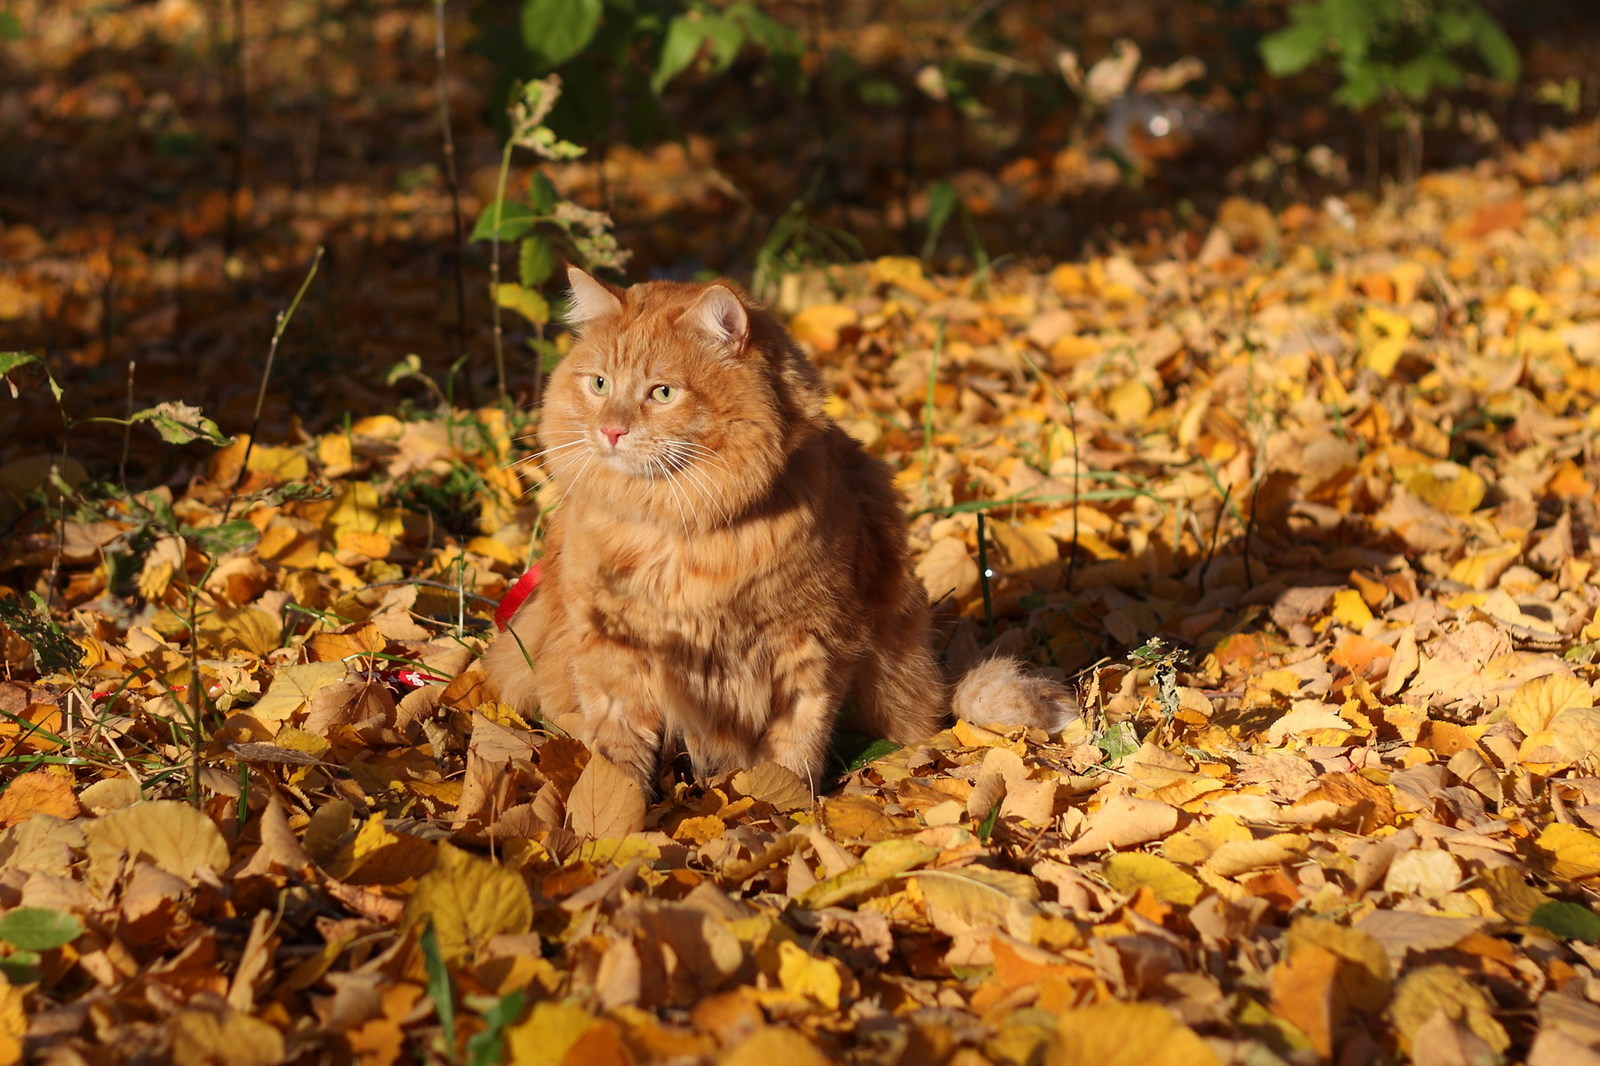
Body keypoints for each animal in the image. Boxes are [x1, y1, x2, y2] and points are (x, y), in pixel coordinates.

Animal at [480, 265, 1068, 787]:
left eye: (662, 393)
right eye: (599, 384)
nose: (611, 430)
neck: (677, 531)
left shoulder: (811, 647)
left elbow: (795, 746)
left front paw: (783, 807)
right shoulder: (610, 651)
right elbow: (618, 756)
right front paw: (611, 820)